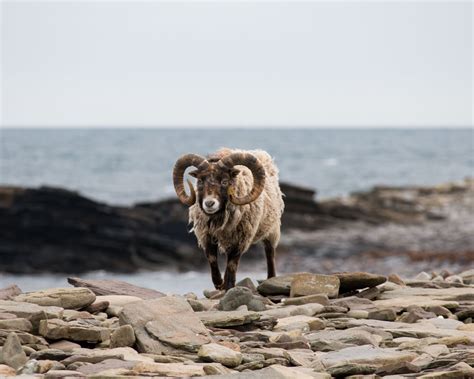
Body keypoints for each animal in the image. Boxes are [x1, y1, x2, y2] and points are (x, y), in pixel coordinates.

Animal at [174, 148, 286, 290]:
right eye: (200, 181)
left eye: (225, 181)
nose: (209, 203)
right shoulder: (206, 235)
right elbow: (212, 259)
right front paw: (219, 283)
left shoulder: (241, 240)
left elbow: (232, 264)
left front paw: (228, 286)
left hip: (272, 229)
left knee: (270, 253)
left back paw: (271, 278)